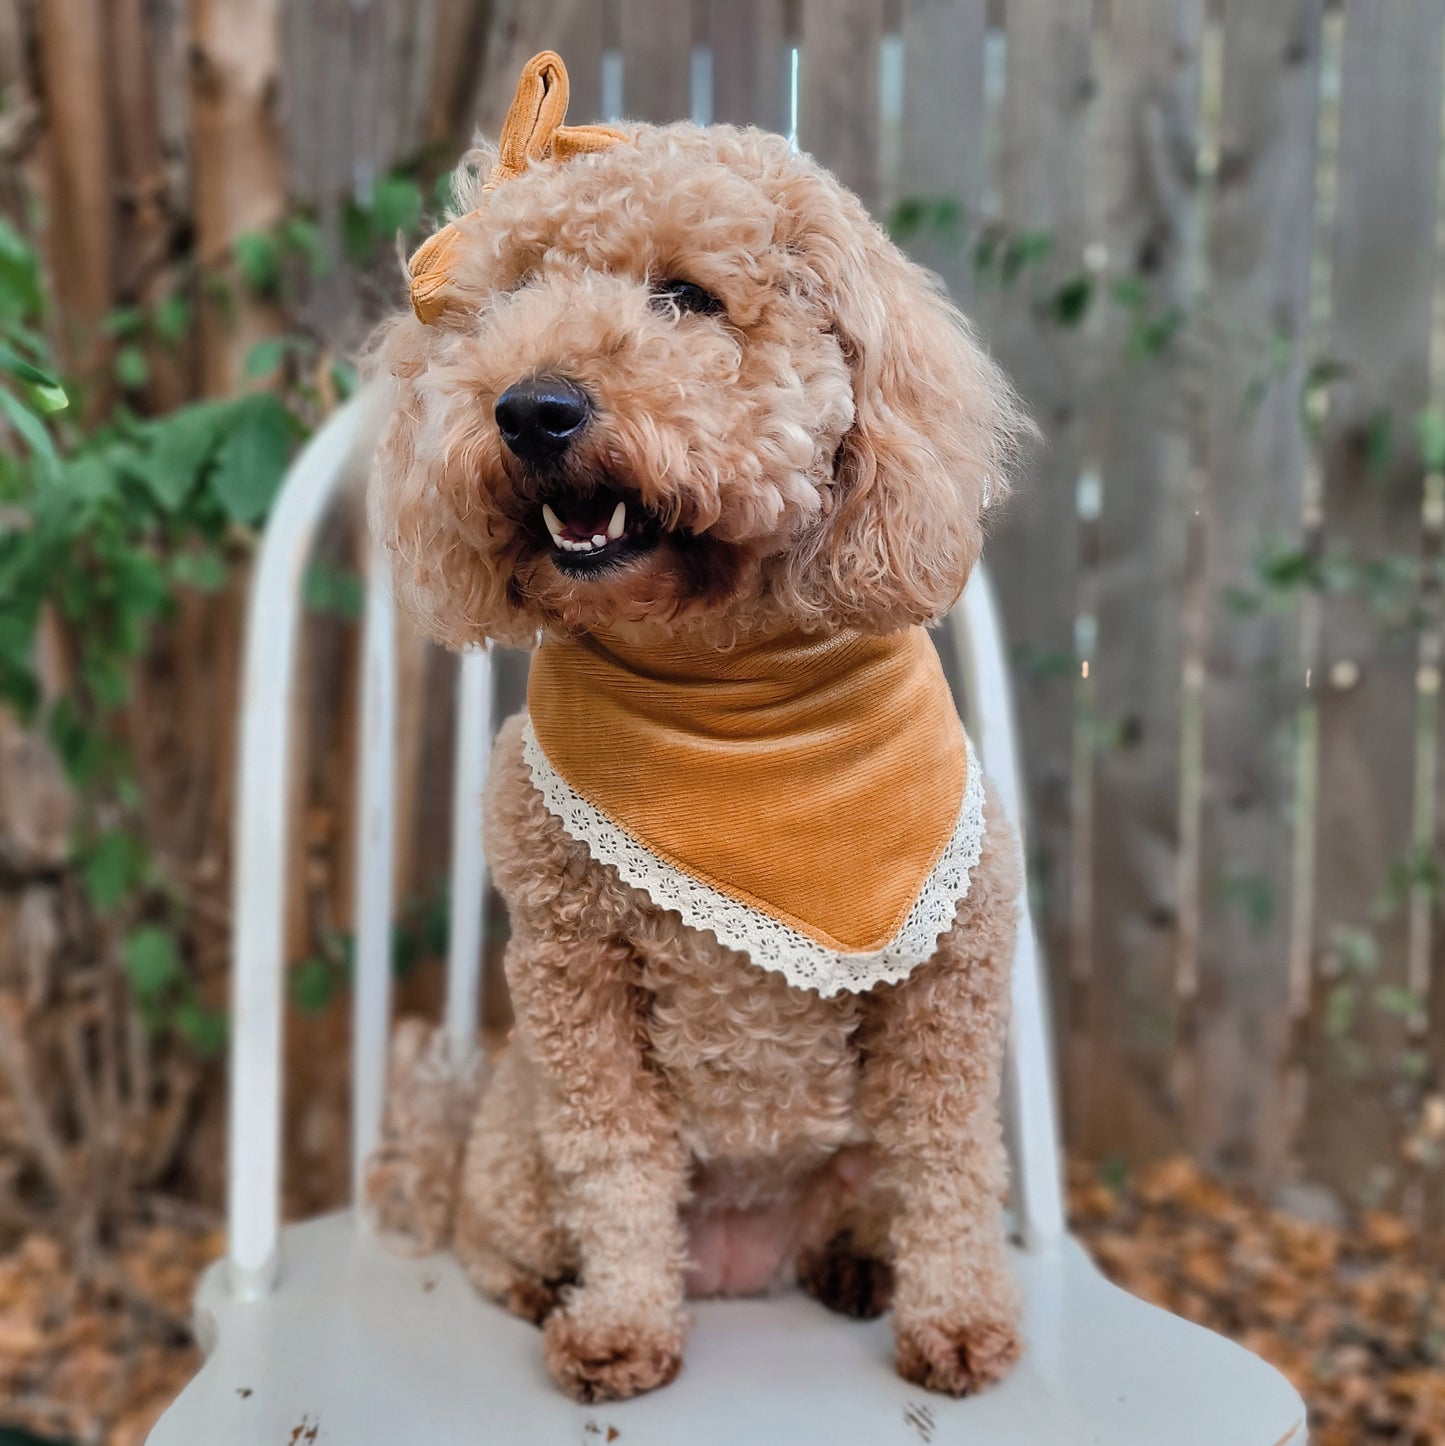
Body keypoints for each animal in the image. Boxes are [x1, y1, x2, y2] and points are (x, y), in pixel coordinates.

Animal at [367, 53, 1035, 1399]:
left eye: (685, 296)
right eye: (510, 299)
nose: (530, 408)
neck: (725, 681)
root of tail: (739, 1257)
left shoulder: (953, 970)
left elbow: (945, 1160)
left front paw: (955, 1322)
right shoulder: (571, 980)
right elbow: (615, 1164)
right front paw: (622, 1326)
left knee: (870, 1197)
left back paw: (856, 1266)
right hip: (514, 1134)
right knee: (489, 1224)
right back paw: (547, 1286)